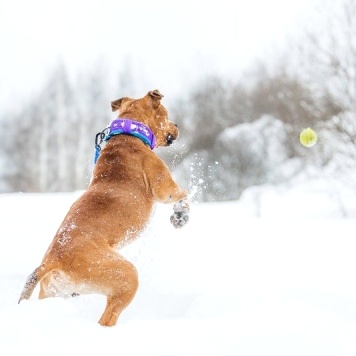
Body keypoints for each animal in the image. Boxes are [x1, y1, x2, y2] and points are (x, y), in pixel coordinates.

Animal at [17, 89, 189, 326]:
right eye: (166, 114)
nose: (177, 125)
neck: (129, 134)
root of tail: (52, 260)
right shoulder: (164, 188)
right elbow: (183, 194)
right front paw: (180, 215)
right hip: (125, 275)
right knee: (107, 318)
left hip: (54, 291)